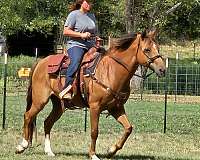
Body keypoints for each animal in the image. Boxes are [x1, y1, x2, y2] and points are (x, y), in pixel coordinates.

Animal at [15, 29, 166, 159]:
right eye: (147, 49)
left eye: (158, 48)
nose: (162, 69)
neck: (111, 71)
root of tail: (40, 61)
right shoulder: (95, 107)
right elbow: (94, 131)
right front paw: (93, 155)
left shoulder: (116, 108)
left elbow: (128, 128)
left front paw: (111, 151)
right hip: (40, 100)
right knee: (28, 116)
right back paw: (22, 146)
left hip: (59, 105)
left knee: (47, 122)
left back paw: (49, 151)